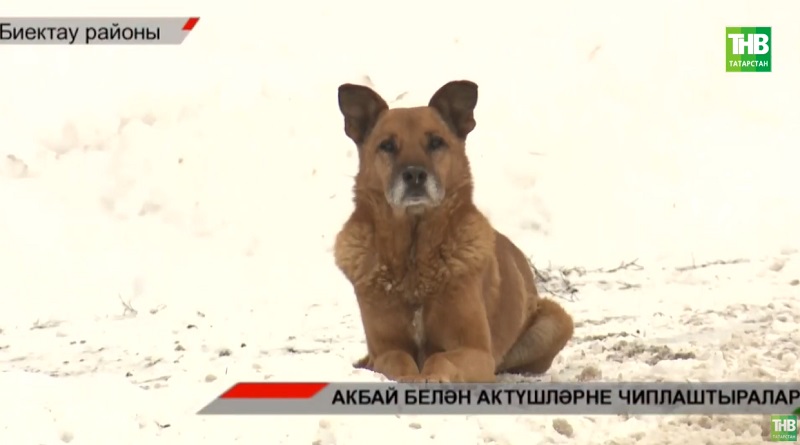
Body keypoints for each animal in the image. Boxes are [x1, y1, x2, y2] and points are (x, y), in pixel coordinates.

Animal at [332, 80, 576, 382]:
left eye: (436, 142)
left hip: (555, 321)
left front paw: (431, 376)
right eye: (387, 145)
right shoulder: (385, 349)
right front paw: (410, 377)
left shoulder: (477, 351)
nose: (414, 175)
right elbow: (398, 359)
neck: (414, 261)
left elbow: (440, 357)